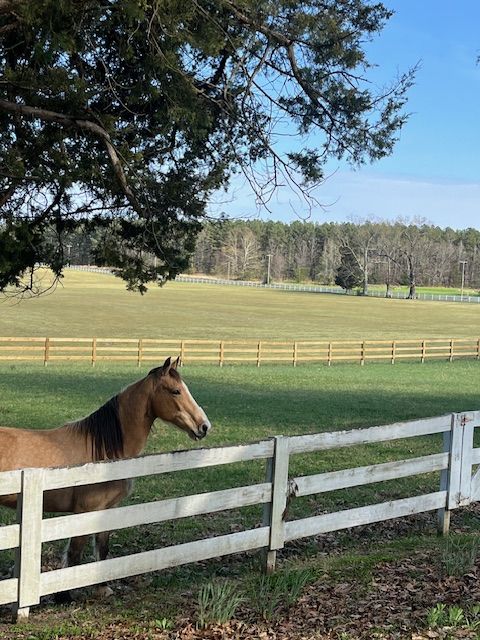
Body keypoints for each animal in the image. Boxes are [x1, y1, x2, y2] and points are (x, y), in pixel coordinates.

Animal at [0, 356, 211, 600]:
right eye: (176, 391)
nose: (204, 426)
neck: (102, 453)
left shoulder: (107, 509)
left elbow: (102, 548)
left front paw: (102, 587)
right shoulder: (84, 511)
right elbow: (75, 553)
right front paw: (64, 596)